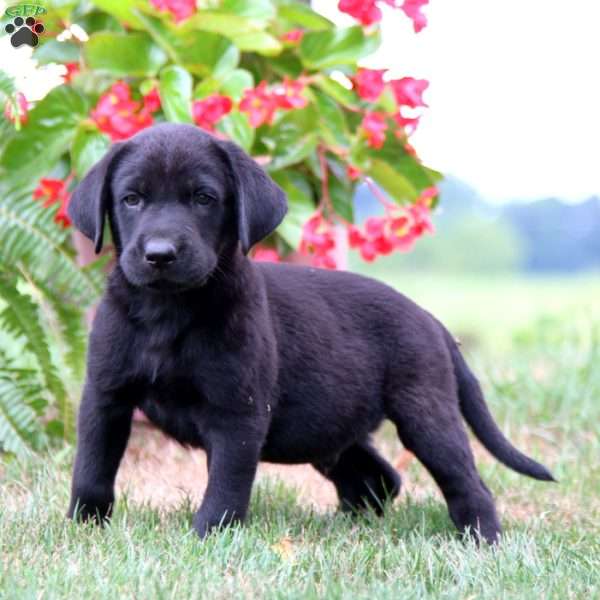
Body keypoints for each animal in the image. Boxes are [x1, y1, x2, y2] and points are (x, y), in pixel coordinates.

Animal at [67, 123, 552, 544]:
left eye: (204, 198)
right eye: (131, 199)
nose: (160, 254)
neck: (168, 313)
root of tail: (432, 321)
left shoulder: (237, 413)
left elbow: (225, 486)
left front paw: (207, 538)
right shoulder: (105, 397)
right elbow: (91, 470)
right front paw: (82, 529)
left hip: (425, 415)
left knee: (467, 484)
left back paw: (483, 540)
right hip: (328, 428)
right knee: (378, 478)